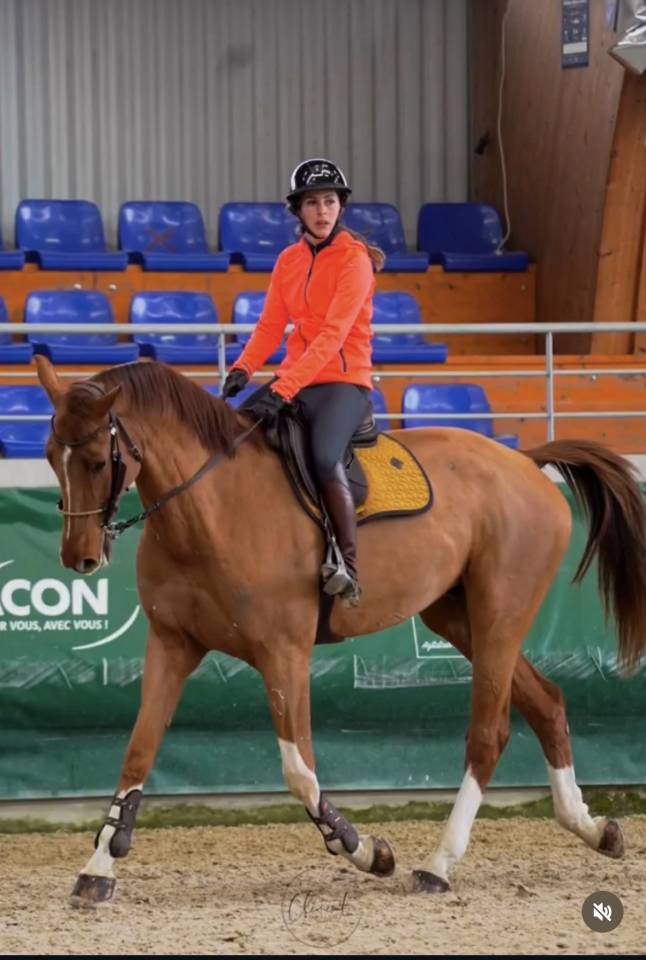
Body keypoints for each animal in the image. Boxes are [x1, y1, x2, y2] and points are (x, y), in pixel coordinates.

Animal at [34, 355, 646, 904]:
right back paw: (595, 829)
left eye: (96, 460)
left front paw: (366, 850)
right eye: (48, 456)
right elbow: (137, 753)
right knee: (547, 702)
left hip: (500, 616)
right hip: (459, 618)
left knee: (489, 733)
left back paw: (439, 864)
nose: (78, 557)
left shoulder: (284, 654)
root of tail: (524, 460)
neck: (212, 508)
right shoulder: (172, 644)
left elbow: (298, 769)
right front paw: (98, 868)